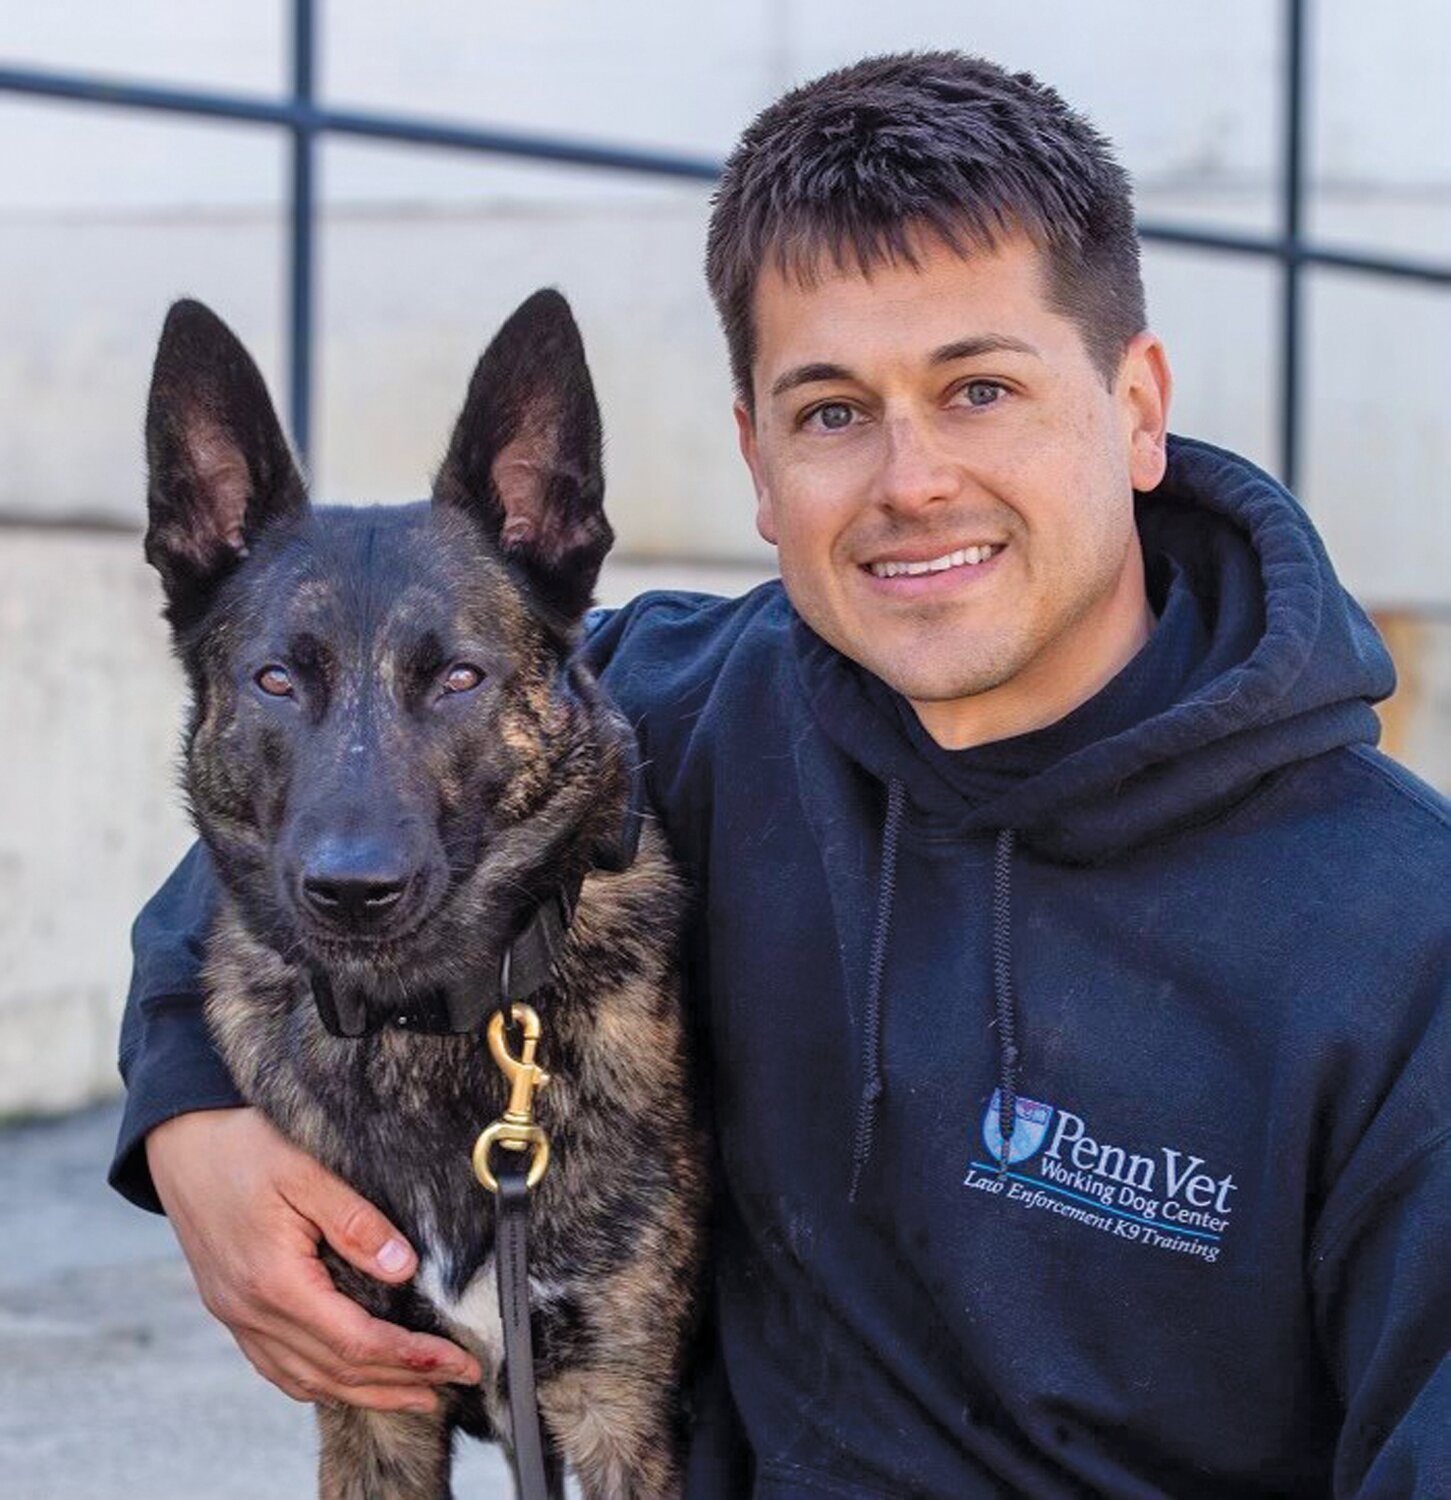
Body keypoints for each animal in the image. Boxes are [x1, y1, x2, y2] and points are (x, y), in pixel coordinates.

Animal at [146, 292, 708, 1500]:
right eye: (277, 679)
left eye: (457, 677)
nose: (351, 890)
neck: (425, 1026)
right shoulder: (370, 1408)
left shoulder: (621, 1418)